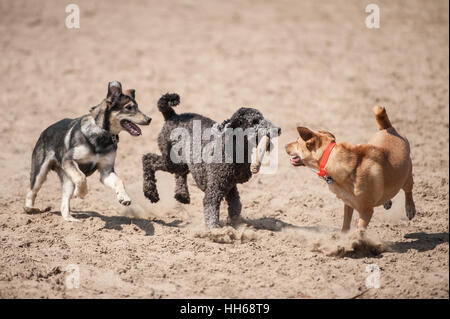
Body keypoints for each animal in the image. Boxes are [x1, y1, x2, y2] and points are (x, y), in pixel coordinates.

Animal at [24, 81, 151, 221]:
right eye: (129, 107)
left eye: (137, 106)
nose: (149, 119)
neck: (102, 134)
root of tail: (44, 132)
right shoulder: (68, 159)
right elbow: (81, 177)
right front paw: (81, 193)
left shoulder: (106, 171)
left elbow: (119, 181)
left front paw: (124, 197)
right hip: (40, 171)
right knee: (31, 191)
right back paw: (30, 209)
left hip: (67, 179)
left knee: (64, 205)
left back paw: (73, 220)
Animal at [286, 107, 416, 232]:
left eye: (297, 141)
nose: (285, 145)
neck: (330, 158)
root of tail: (388, 128)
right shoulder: (348, 203)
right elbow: (345, 225)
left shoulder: (366, 211)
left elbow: (359, 231)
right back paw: (387, 201)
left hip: (407, 176)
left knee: (408, 190)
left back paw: (410, 209)